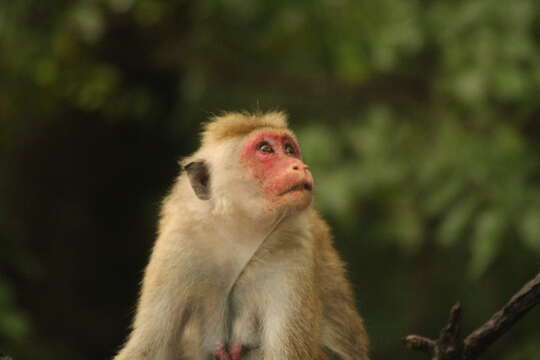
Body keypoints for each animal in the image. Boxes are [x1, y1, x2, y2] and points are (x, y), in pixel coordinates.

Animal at [113, 112, 368, 360]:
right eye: (265, 149)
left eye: (288, 149)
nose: (300, 166)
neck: (238, 233)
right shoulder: (179, 241)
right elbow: (147, 348)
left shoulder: (293, 247)